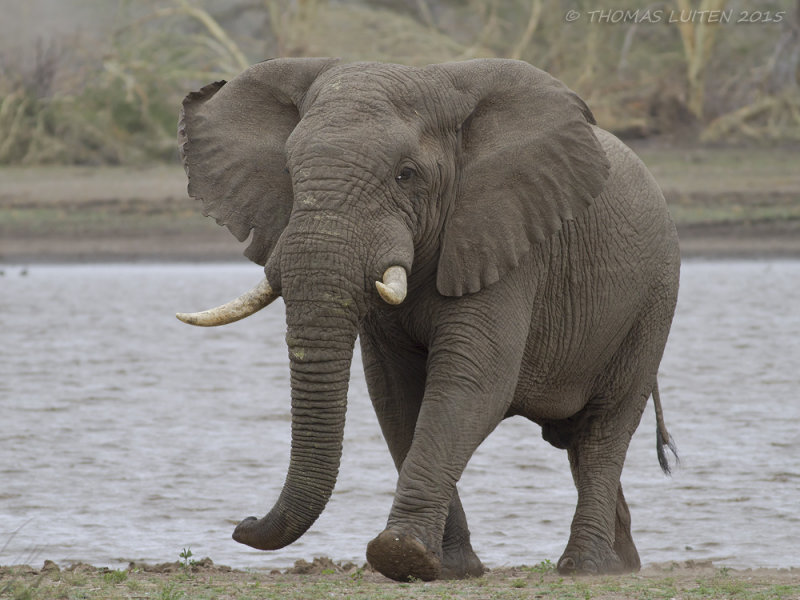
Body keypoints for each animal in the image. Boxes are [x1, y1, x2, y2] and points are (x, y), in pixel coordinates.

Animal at [173, 57, 676, 580]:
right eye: (289, 172)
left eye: (406, 175)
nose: (242, 523)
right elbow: (396, 396)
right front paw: (444, 567)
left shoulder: (507, 245)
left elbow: (470, 383)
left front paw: (400, 553)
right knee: (579, 441)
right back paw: (622, 565)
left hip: (653, 298)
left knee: (603, 430)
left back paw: (585, 567)